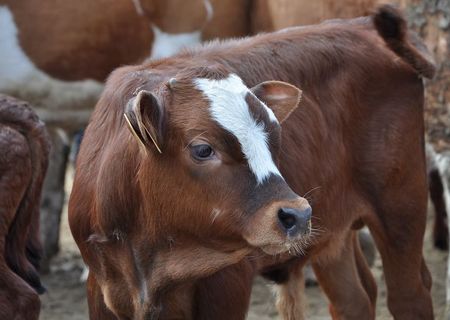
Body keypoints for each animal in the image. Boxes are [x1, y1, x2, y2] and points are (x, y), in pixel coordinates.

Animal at [69, 5, 436, 320]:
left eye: (275, 133)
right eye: (202, 149)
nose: (297, 215)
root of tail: (362, 27)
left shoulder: (226, 283)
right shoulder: (101, 289)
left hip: (401, 209)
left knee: (409, 297)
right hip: (336, 231)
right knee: (354, 300)